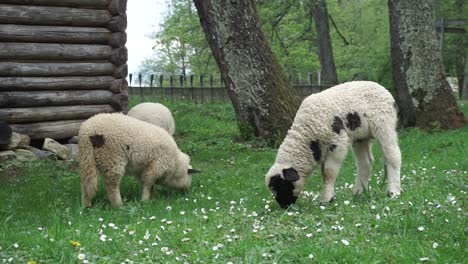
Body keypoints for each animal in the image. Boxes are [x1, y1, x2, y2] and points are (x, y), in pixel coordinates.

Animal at [266, 80, 400, 208]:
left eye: (281, 185)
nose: (284, 206)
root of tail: (384, 90)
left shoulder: (337, 142)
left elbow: (328, 173)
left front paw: (326, 200)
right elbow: (324, 173)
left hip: (384, 124)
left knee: (393, 156)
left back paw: (393, 192)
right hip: (361, 136)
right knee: (365, 163)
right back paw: (358, 194)